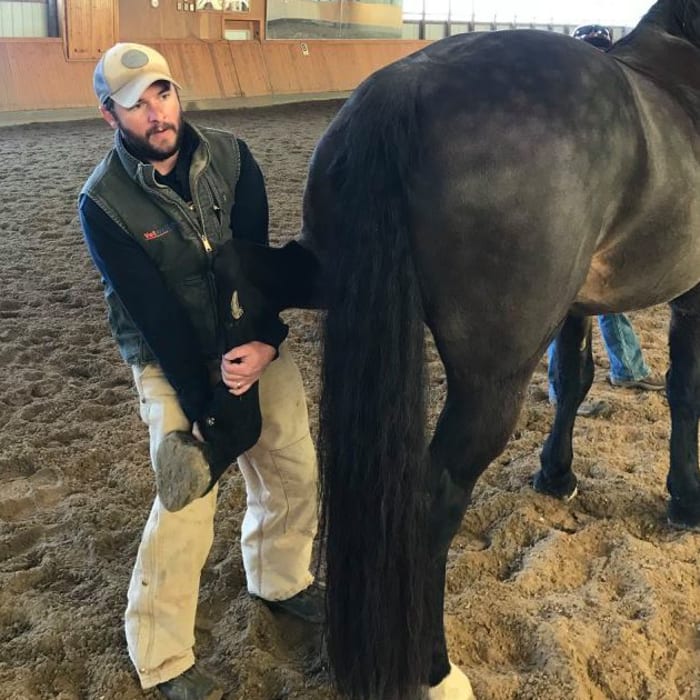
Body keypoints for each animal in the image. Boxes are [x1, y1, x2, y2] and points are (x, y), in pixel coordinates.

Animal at [242, 1, 700, 700]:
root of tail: (402, 87)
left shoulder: (574, 305)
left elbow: (572, 379)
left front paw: (556, 476)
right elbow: (684, 392)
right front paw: (686, 497)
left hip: (321, 273)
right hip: (490, 379)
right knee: (433, 503)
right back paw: (436, 670)